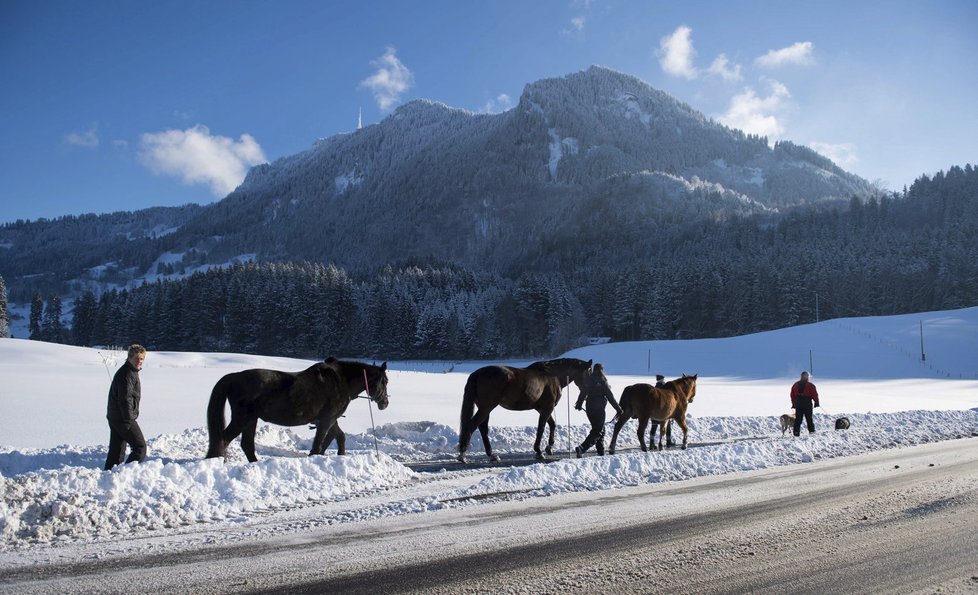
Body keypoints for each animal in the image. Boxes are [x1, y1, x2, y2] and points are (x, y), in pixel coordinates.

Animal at [205, 356, 386, 464]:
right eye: (385, 381)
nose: (385, 403)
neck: (341, 380)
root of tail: (233, 377)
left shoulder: (329, 419)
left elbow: (338, 437)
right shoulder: (327, 419)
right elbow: (320, 442)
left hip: (251, 419)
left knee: (246, 445)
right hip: (242, 418)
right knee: (223, 440)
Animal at [456, 356, 592, 464]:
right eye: (589, 372)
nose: (587, 391)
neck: (552, 375)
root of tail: (477, 373)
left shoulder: (541, 408)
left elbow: (552, 424)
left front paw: (549, 447)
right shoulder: (547, 408)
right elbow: (541, 428)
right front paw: (539, 451)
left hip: (485, 408)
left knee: (483, 428)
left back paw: (492, 455)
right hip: (487, 407)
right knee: (472, 425)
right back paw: (463, 455)